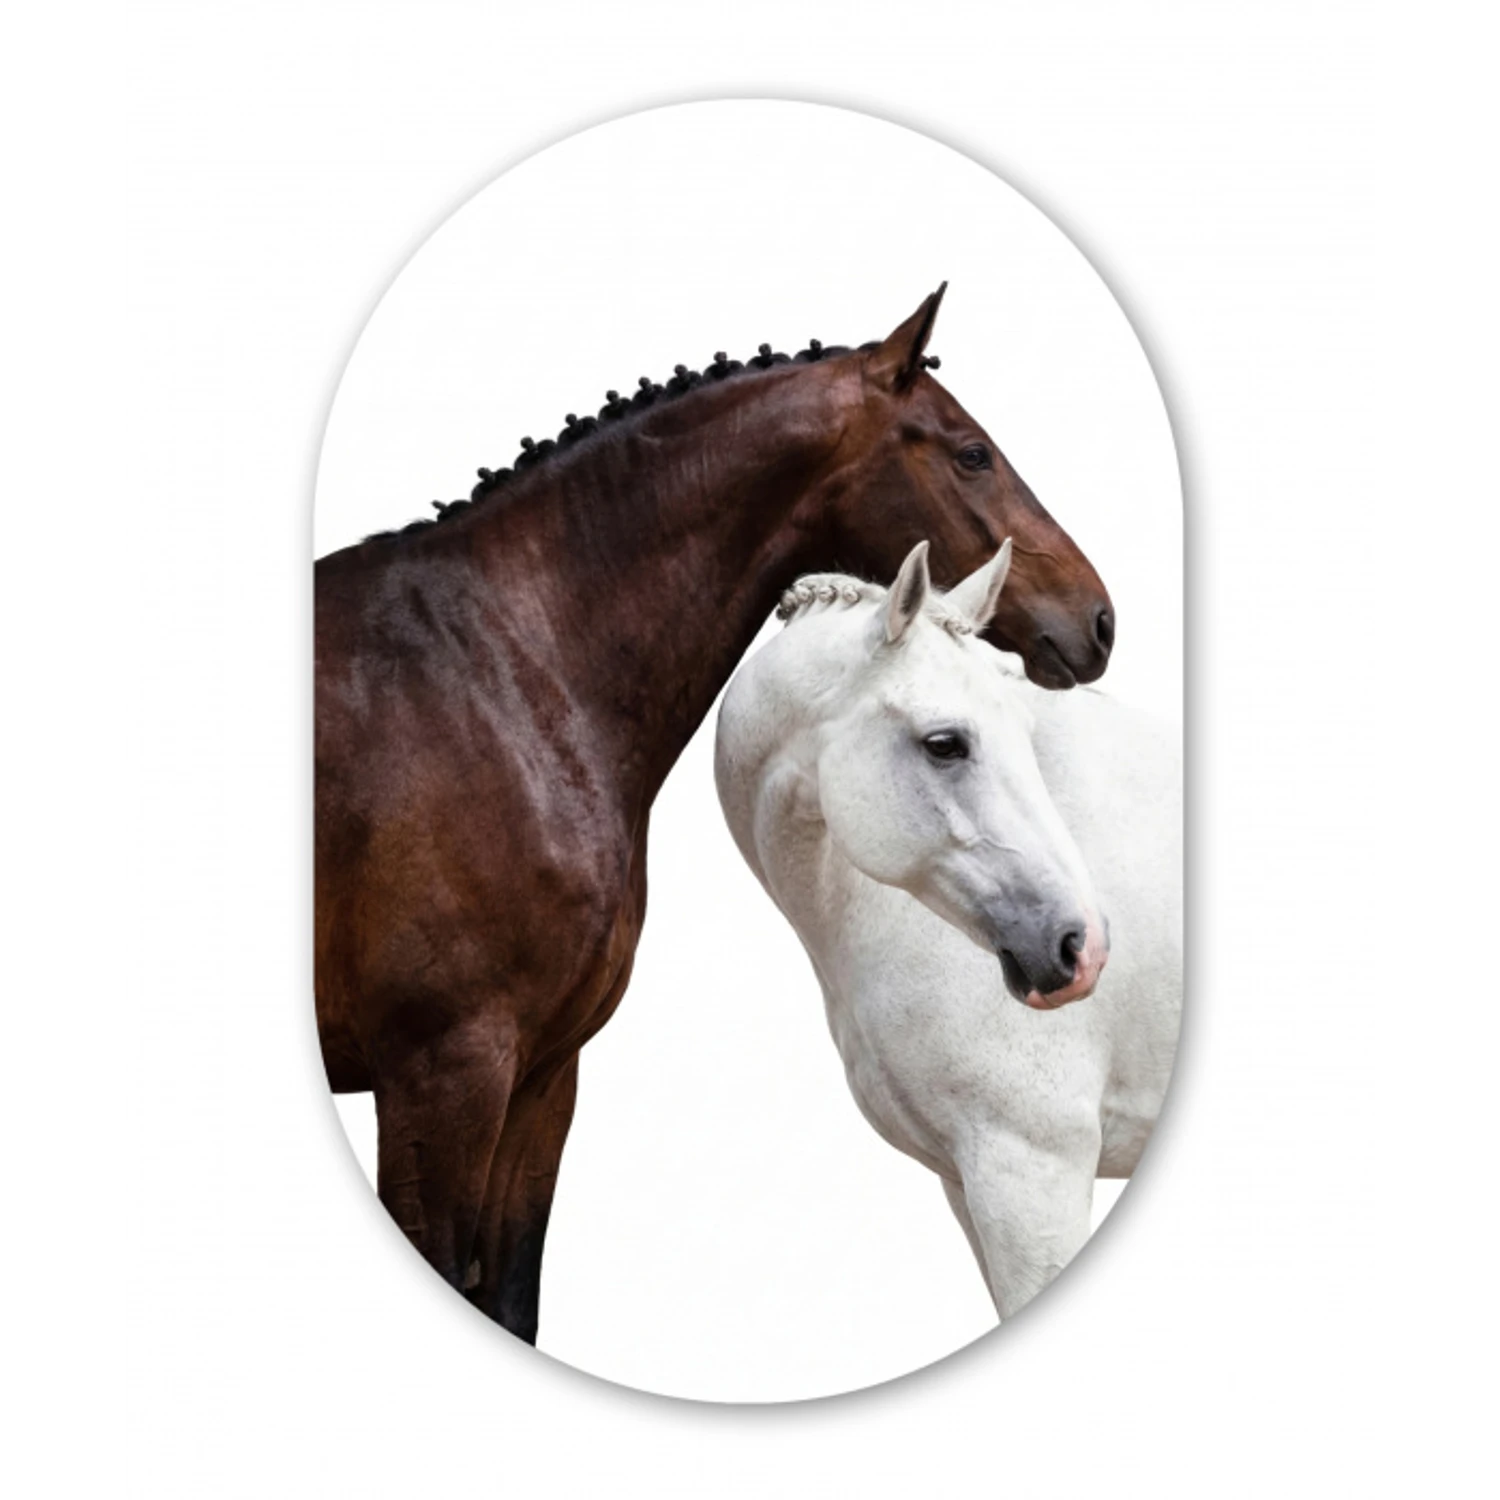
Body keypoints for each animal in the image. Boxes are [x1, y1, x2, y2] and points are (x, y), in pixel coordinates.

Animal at [315, 287, 1115, 1342]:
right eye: (972, 451)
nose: (1100, 619)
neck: (491, 672)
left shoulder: (540, 1081)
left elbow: (514, 1298)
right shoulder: (441, 1080)